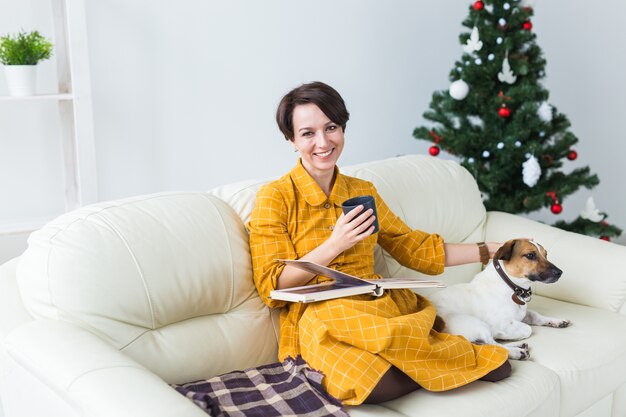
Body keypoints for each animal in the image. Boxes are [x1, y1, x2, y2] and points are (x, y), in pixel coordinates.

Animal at [428, 239, 572, 360]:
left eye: (546, 255)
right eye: (530, 255)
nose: (560, 272)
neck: (511, 286)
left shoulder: (522, 314)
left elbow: (535, 315)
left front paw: (556, 321)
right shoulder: (498, 323)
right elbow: (527, 329)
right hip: (477, 324)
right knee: (491, 345)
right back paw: (516, 351)